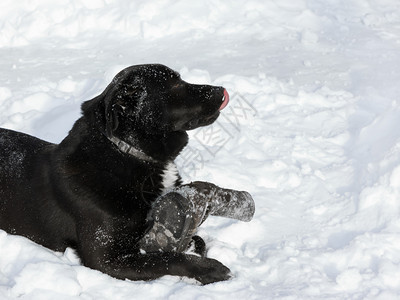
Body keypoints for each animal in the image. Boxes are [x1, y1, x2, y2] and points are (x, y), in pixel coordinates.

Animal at [0, 64, 233, 284]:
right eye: (175, 84)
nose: (221, 90)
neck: (126, 151)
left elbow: (196, 242)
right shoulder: (106, 259)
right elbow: (165, 258)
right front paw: (209, 269)